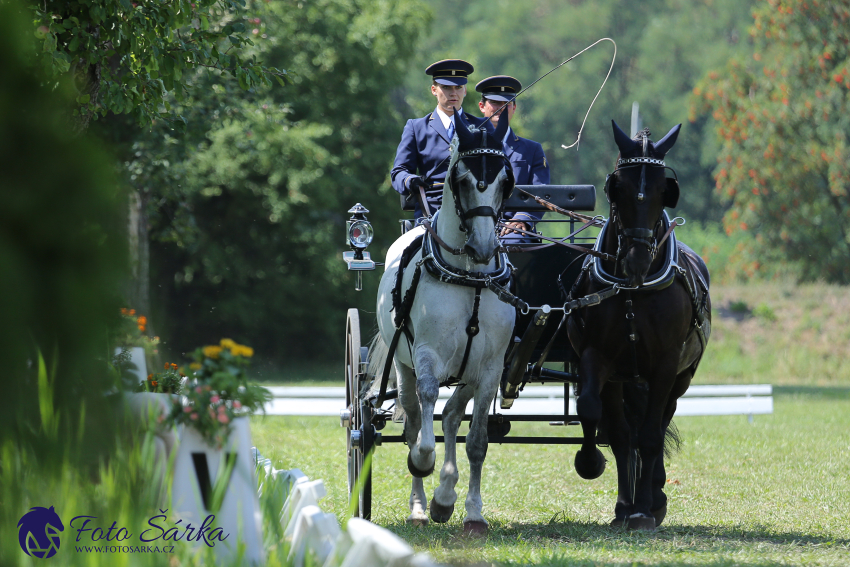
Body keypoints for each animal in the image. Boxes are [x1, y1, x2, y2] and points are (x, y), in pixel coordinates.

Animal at [370, 111, 512, 536]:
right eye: (462, 180)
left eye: (505, 181)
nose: (483, 247)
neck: (469, 278)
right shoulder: (427, 355)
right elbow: (423, 430)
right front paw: (425, 468)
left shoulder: (490, 368)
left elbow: (477, 442)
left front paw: (469, 511)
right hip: (404, 366)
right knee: (415, 418)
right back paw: (420, 506)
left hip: (468, 371)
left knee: (450, 417)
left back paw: (445, 496)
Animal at [568, 121, 712, 532]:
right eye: (618, 187)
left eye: (665, 190)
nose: (636, 260)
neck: (635, 288)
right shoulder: (598, 357)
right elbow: (597, 416)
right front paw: (600, 476)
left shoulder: (665, 365)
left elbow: (649, 436)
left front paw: (645, 509)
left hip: (681, 377)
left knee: (660, 422)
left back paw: (654, 494)